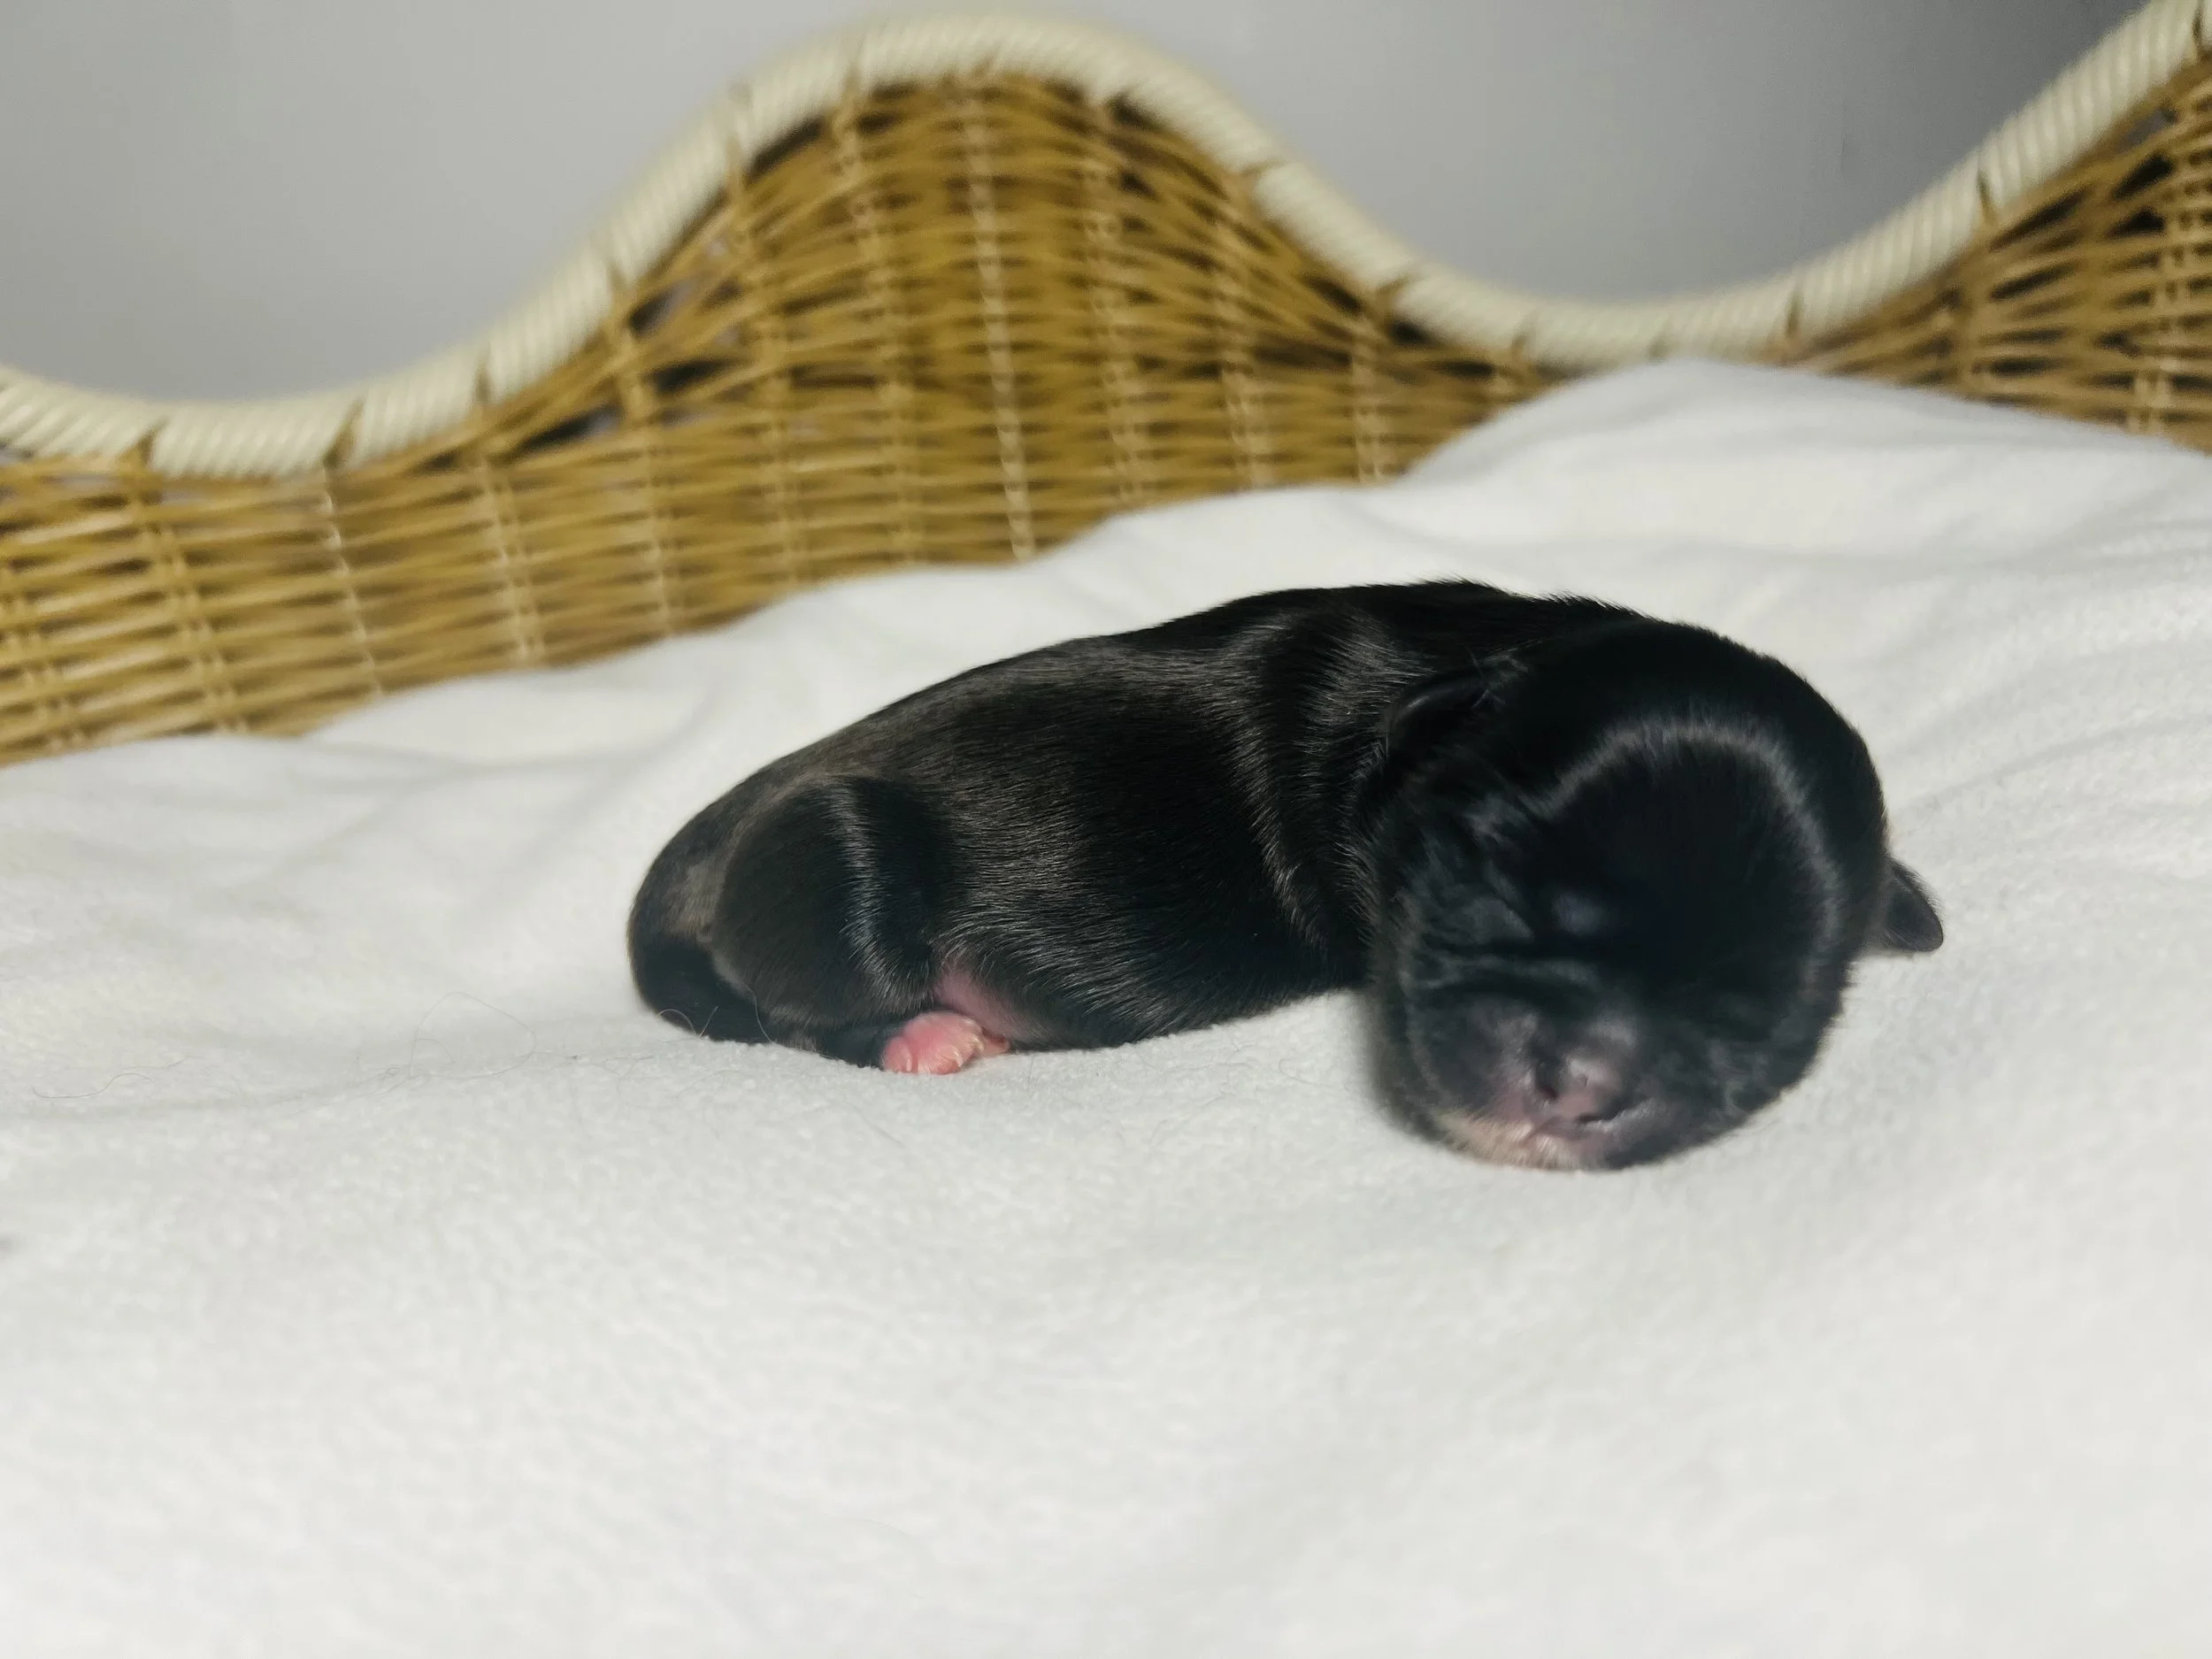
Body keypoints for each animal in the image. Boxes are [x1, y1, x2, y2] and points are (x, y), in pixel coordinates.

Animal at [629, 583, 1942, 1169]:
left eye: (1754, 1021)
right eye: (1497, 887)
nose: (1579, 1083)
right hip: (842, 852)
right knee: (791, 1012)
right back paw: (926, 1033)